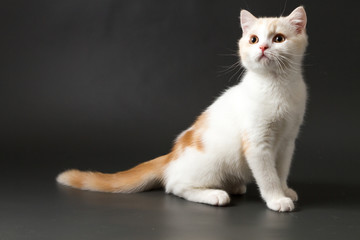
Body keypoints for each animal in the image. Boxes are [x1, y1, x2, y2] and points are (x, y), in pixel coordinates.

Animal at [57, 6, 308, 212]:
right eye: (253, 39)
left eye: (278, 38)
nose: (263, 47)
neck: (277, 87)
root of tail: (170, 157)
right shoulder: (257, 143)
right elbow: (267, 176)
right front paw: (276, 199)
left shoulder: (287, 141)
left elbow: (281, 170)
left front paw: (284, 190)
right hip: (211, 165)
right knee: (175, 186)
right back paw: (215, 194)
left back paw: (235, 186)